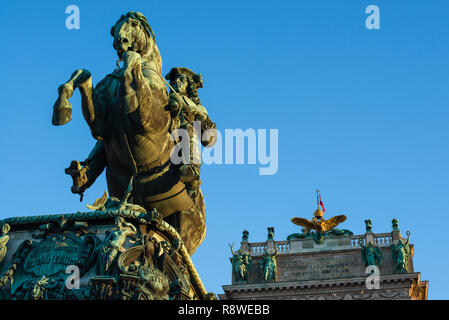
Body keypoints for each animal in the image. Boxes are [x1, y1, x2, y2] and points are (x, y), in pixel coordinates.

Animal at [52, 11, 205, 254]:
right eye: (113, 28)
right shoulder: (101, 125)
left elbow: (130, 73)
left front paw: (129, 76)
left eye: (134, 23)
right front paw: (62, 108)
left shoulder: (146, 120)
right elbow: (83, 74)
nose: (120, 42)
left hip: (186, 223)